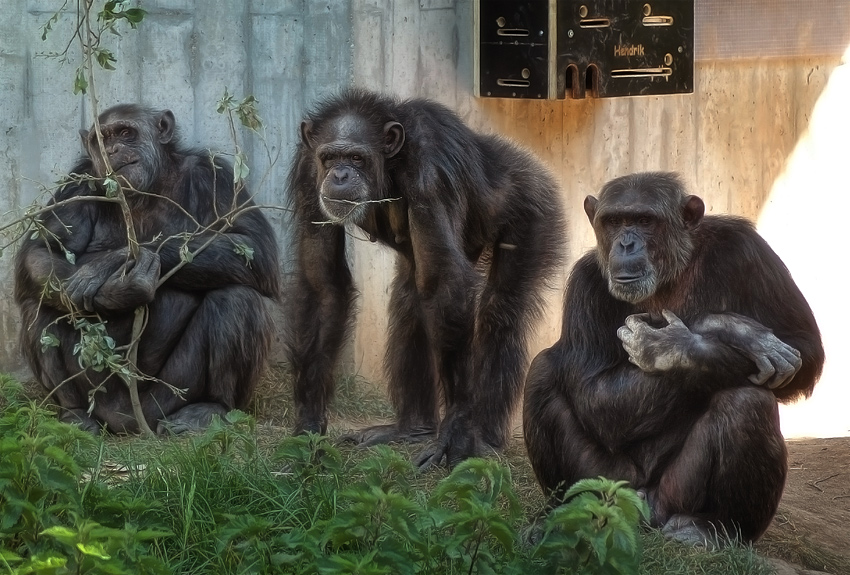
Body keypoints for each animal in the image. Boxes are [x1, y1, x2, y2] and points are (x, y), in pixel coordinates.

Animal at [15, 104, 282, 436]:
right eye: (102, 139)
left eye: (125, 133)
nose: (113, 150)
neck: (150, 188)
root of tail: (128, 422)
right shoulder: (74, 184)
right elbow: (41, 249)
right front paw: (116, 290)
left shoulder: (215, 175)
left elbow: (253, 246)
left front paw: (114, 266)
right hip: (100, 397)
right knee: (42, 305)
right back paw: (75, 415)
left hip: (167, 398)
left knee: (238, 299)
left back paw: (209, 408)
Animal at [284, 89, 564, 468]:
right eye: (329, 158)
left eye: (356, 158)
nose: (340, 174)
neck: (390, 165)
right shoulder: (307, 176)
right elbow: (322, 284)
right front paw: (308, 426)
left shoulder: (431, 173)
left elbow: (445, 285)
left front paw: (455, 430)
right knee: (411, 298)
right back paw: (411, 429)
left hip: (537, 210)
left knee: (501, 310)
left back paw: (484, 437)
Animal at [524, 170, 820, 544]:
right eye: (615, 221)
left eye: (644, 221)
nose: (626, 243)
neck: (669, 275)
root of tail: (643, 504)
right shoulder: (584, 284)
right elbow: (597, 395)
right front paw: (736, 330)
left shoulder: (749, 249)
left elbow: (804, 346)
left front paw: (676, 345)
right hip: (609, 481)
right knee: (542, 371)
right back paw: (562, 514)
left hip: (674, 493)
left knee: (747, 401)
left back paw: (715, 529)